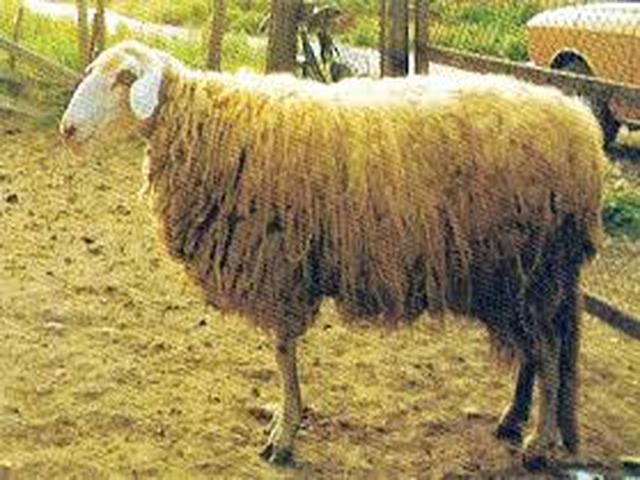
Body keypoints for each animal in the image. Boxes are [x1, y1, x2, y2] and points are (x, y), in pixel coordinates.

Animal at [60, 40, 606, 469]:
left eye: (124, 78)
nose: (67, 130)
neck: (208, 124)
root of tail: (580, 122)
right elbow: (283, 355)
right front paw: (283, 423)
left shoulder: (281, 266)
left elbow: (283, 353)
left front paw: (283, 436)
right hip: (514, 276)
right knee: (535, 351)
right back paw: (513, 420)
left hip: (532, 266)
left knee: (547, 351)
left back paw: (538, 443)